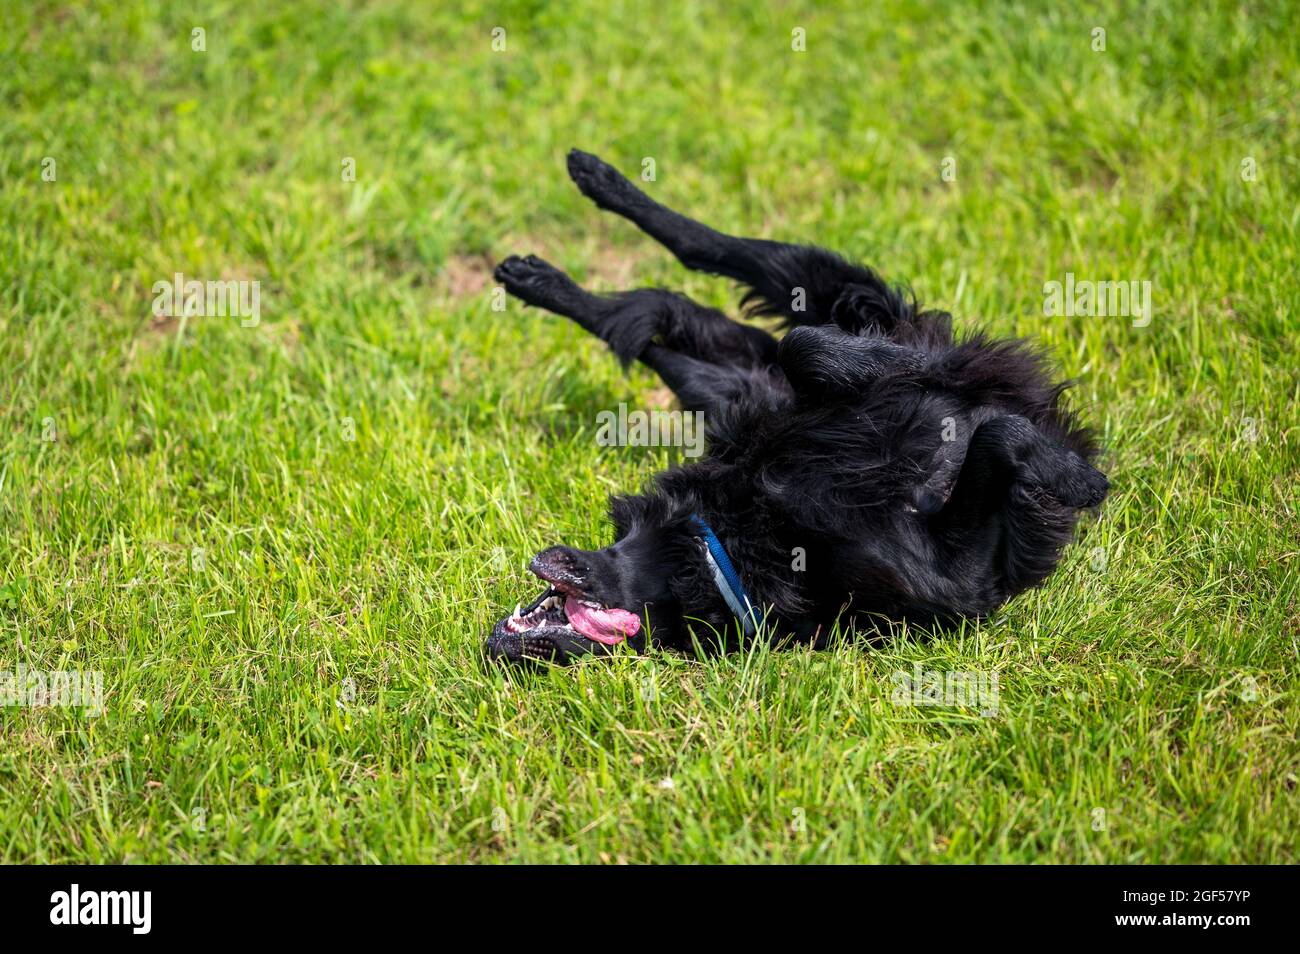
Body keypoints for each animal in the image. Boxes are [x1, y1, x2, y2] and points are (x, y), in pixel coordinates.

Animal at [488, 153, 1107, 670]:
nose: (495, 645)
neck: (724, 548)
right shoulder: (954, 572)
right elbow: (1002, 433)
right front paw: (1078, 476)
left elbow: (811, 347)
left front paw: (901, 364)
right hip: (742, 366)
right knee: (667, 315)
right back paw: (547, 270)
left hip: (812, 293)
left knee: (706, 263)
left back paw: (586, 193)